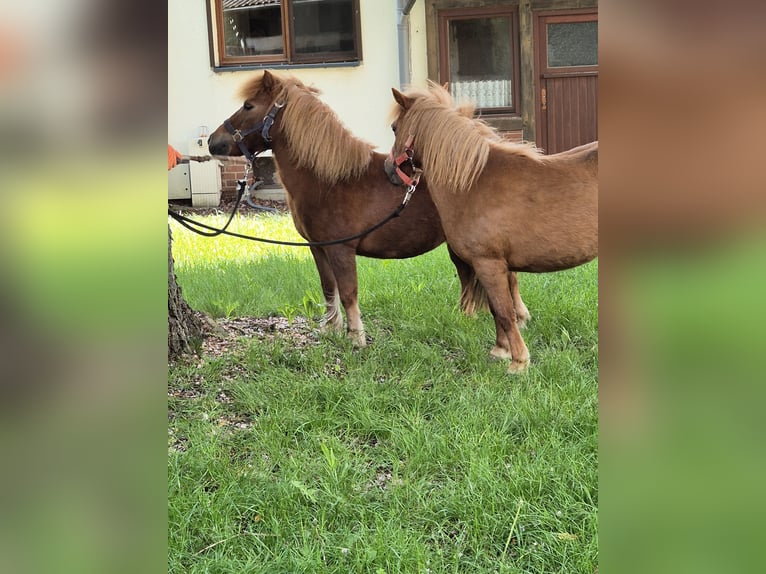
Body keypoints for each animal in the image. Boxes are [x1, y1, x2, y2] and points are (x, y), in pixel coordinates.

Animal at [208, 70, 530, 346]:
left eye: (248, 105)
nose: (213, 142)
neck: (328, 180)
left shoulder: (341, 249)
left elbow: (349, 291)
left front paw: (356, 338)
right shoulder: (318, 248)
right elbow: (329, 287)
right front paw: (332, 329)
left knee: (506, 277)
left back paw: (518, 318)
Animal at [388, 82, 597, 373]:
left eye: (394, 128)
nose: (389, 172)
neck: (472, 182)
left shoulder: (488, 263)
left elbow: (504, 312)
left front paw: (519, 362)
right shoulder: (488, 266)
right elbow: (496, 309)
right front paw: (500, 351)